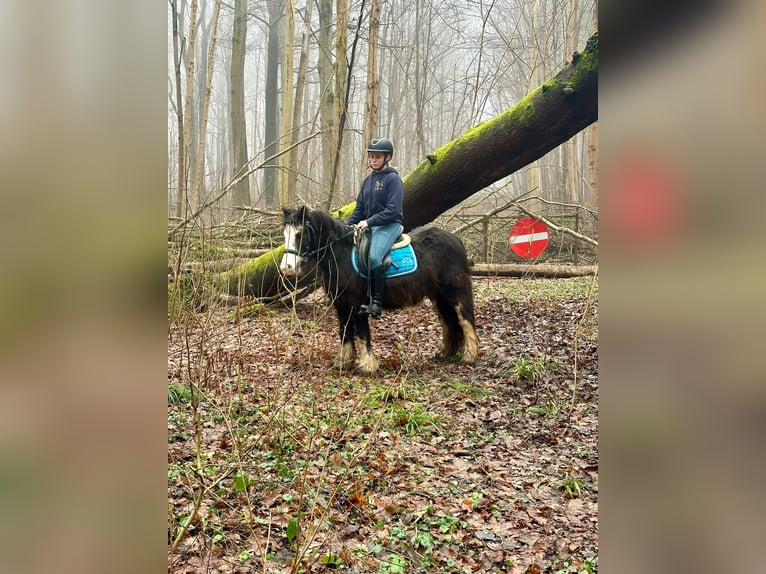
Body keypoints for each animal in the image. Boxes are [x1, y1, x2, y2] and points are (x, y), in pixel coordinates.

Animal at [280, 207, 476, 378]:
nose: (286, 268)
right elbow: (345, 332)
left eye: (300, 234)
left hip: (456, 293)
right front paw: (343, 363)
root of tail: (456, 240)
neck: (341, 255)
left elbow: (362, 334)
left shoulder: (357, 304)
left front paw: (366, 367)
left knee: (466, 320)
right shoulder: (341, 304)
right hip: (439, 296)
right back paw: (445, 354)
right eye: (285, 234)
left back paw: (470, 356)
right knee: (449, 323)